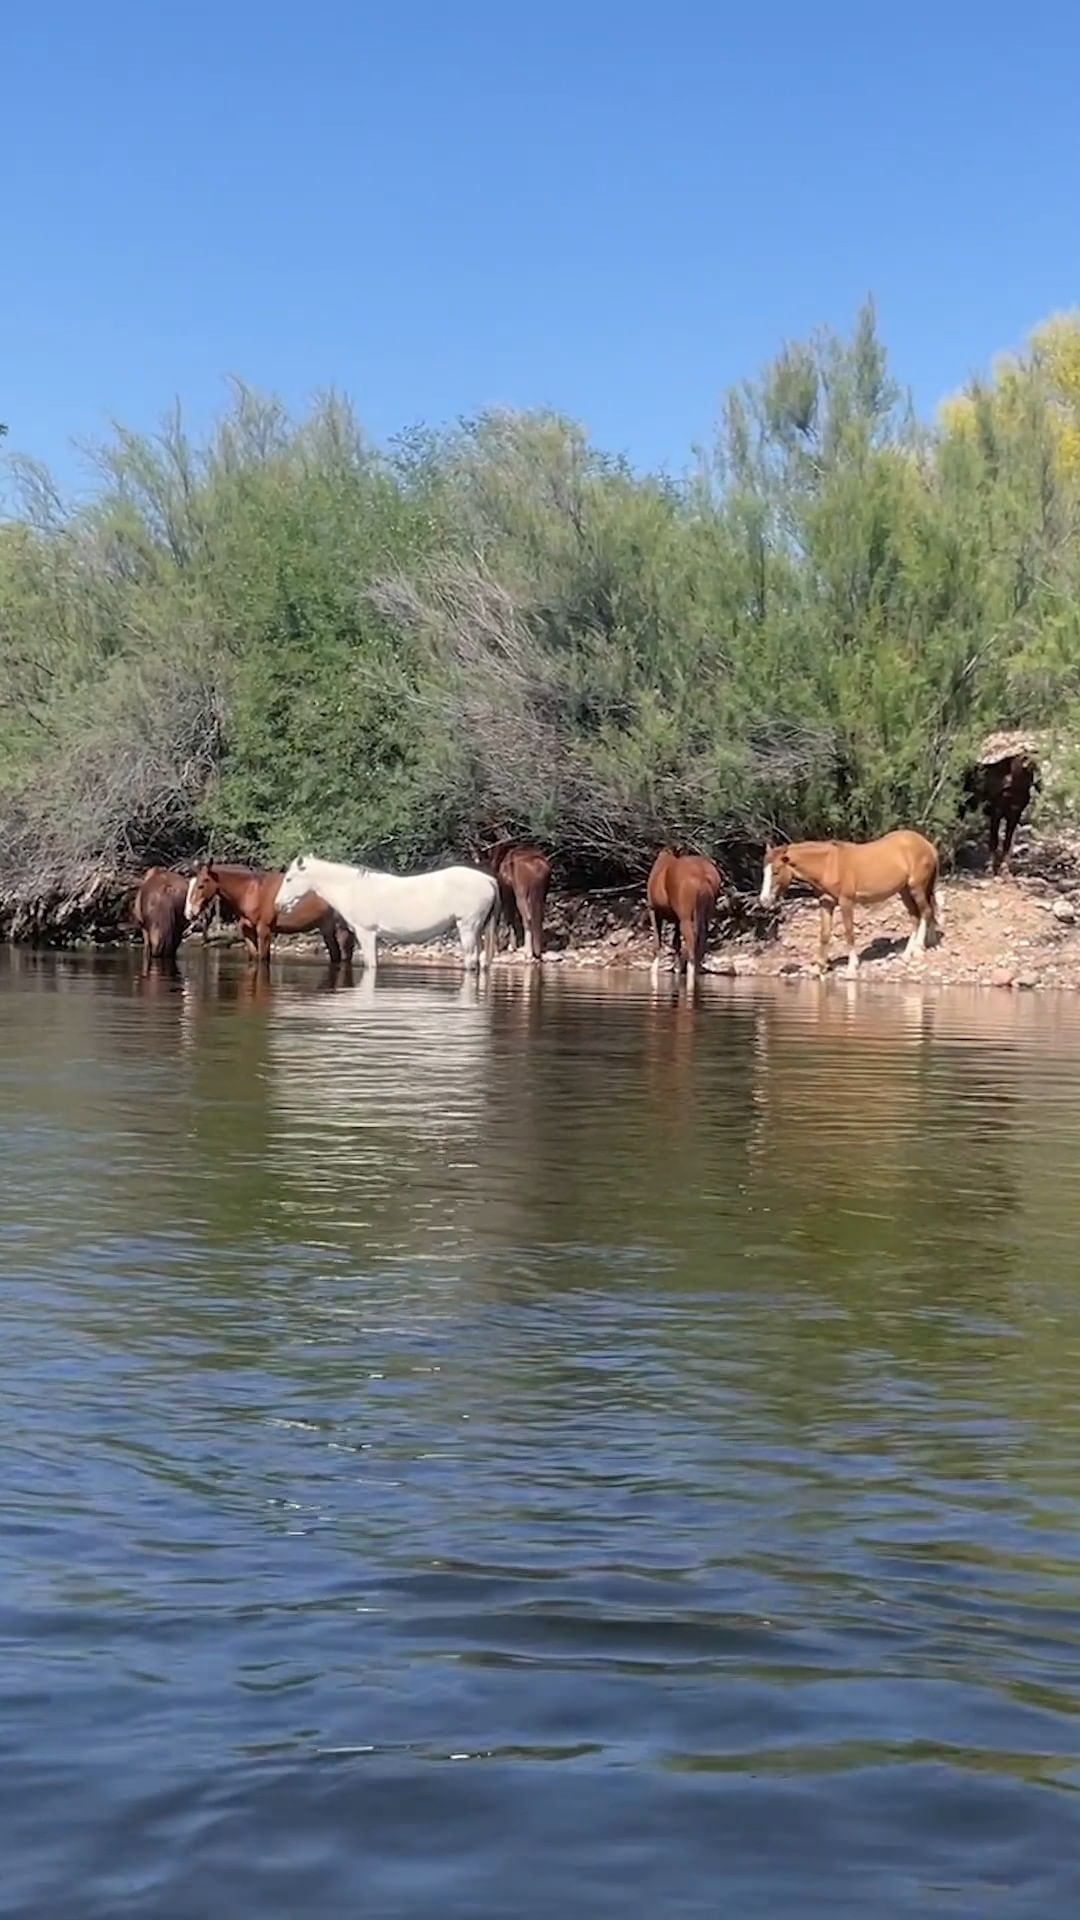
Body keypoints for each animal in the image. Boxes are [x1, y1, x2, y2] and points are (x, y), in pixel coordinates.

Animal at [184, 862, 356, 966]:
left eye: (201, 885)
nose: (190, 912)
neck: (251, 891)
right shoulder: (247, 931)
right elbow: (254, 957)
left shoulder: (264, 930)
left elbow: (263, 959)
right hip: (327, 928)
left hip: (342, 929)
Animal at [274, 855, 499, 974]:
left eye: (289, 879)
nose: (278, 905)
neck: (352, 888)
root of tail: (488, 880)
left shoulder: (366, 933)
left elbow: (371, 964)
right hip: (477, 929)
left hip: (467, 927)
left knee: (471, 960)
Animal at [646, 848, 723, 983]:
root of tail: (703, 877)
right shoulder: (676, 919)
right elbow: (676, 942)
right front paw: (677, 968)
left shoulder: (653, 910)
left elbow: (657, 941)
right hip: (704, 916)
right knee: (702, 940)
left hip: (686, 918)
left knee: (691, 940)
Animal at [760, 831, 941, 977]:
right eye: (764, 871)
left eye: (776, 871)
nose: (764, 900)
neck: (827, 864)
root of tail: (927, 844)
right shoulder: (826, 902)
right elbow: (824, 934)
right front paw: (818, 968)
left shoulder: (846, 902)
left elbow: (849, 932)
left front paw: (851, 967)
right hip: (904, 891)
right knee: (916, 916)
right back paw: (908, 952)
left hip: (916, 887)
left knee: (925, 912)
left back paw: (919, 949)